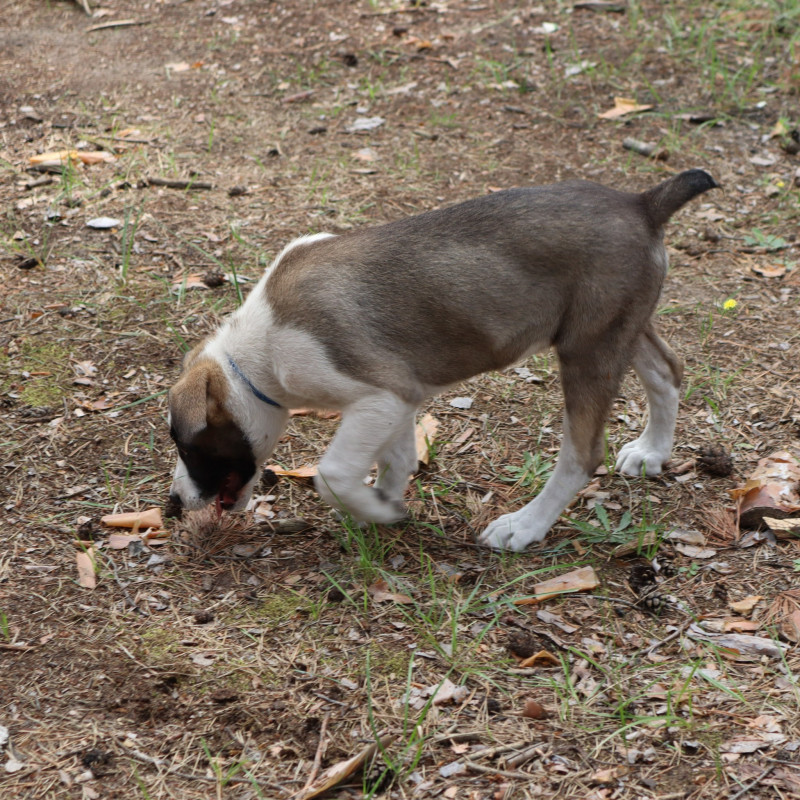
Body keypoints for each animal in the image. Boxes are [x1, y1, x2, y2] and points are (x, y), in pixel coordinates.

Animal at [169, 170, 720, 552]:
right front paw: (385, 501)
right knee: (667, 371)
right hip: (619, 328)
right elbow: (396, 458)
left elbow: (334, 473)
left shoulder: (381, 394)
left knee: (582, 455)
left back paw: (524, 526)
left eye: (190, 446)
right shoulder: (398, 401)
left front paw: (376, 511)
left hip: (587, 350)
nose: (173, 507)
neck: (254, 355)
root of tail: (642, 203)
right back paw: (651, 452)